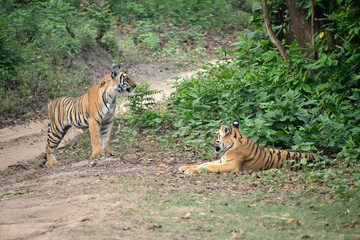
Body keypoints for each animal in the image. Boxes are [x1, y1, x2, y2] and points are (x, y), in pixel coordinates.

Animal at [179, 120, 316, 174]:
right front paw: (185, 167)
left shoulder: (231, 165)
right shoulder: (222, 160)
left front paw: (189, 170)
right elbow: (203, 164)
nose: (211, 144)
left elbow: (210, 166)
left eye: (216, 136)